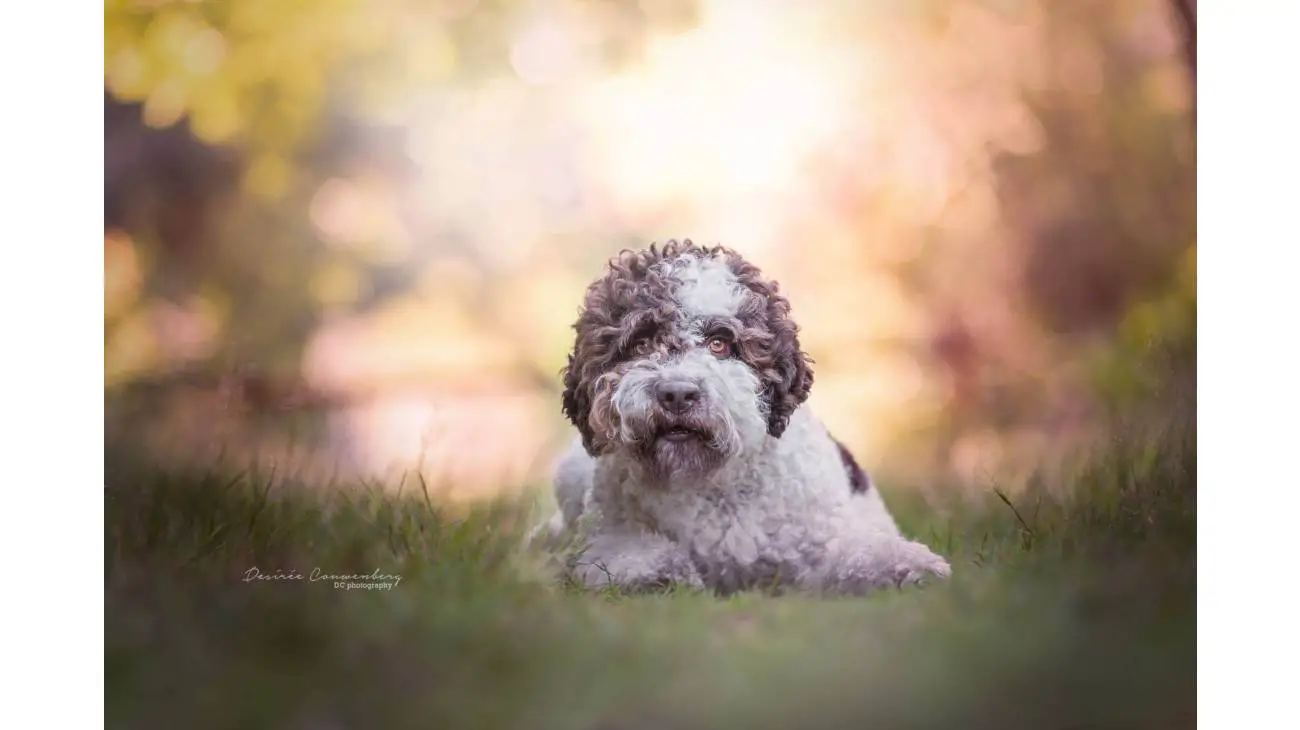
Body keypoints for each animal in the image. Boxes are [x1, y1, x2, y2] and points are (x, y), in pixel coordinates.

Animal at [533, 239, 951, 592]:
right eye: (641, 343)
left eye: (720, 343)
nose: (677, 393)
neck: (713, 484)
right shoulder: (610, 537)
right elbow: (625, 558)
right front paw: (660, 572)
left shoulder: (822, 540)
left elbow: (859, 552)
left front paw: (913, 564)